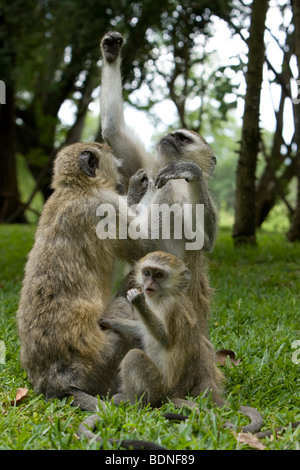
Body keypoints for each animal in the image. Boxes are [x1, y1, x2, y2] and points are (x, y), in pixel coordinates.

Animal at [16, 141, 157, 414]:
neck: (75, 188)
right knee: (123, 304)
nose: (121, 182)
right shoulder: (104, 206)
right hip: (103, 358)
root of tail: (53, 381)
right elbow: (145, 248)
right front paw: (137, 189)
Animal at [101, 30, 218, 338]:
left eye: (183, 138)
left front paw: (190, 170)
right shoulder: (153, 169)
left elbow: (190, 241)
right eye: (173, 133)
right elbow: (112, 127)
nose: (167, 135)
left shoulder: (171, 189)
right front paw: (111, 52)